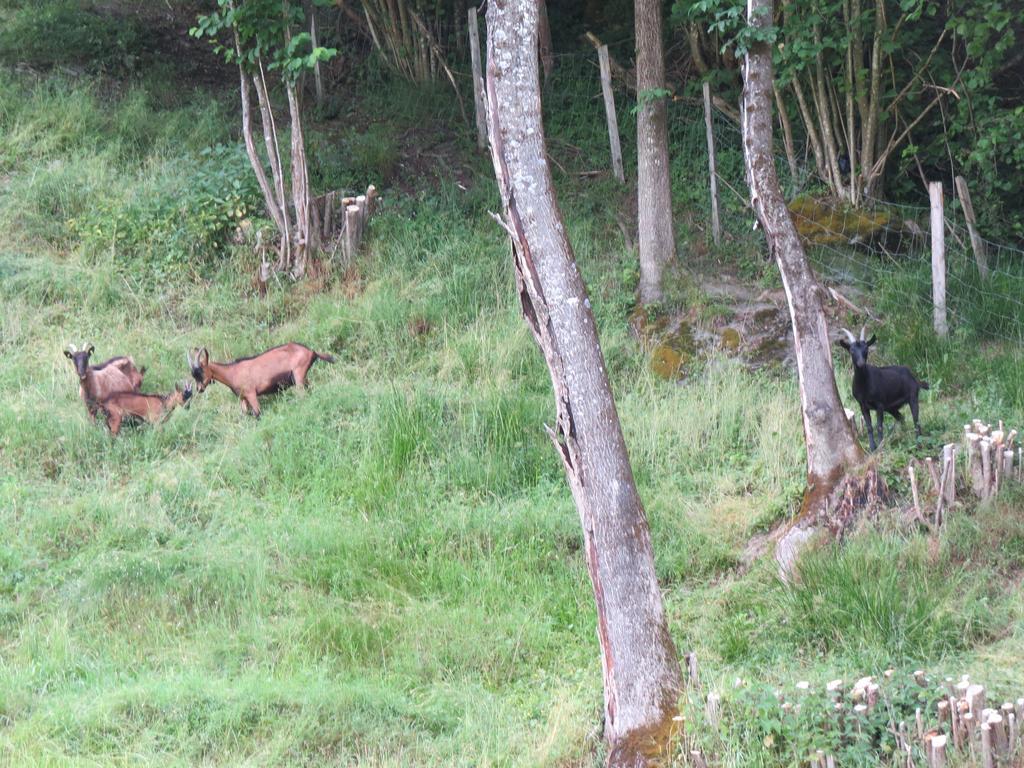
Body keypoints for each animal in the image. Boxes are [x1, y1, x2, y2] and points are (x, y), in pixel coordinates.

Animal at [188, 342, 335, 417]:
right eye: (193, 375)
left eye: (200, 371)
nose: (199, 389)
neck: (232, 372)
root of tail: (312, 351)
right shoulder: (243, 398)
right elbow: (246, 415)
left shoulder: (251, 394)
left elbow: (258, 413)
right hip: (303, 378)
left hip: (298, 375)